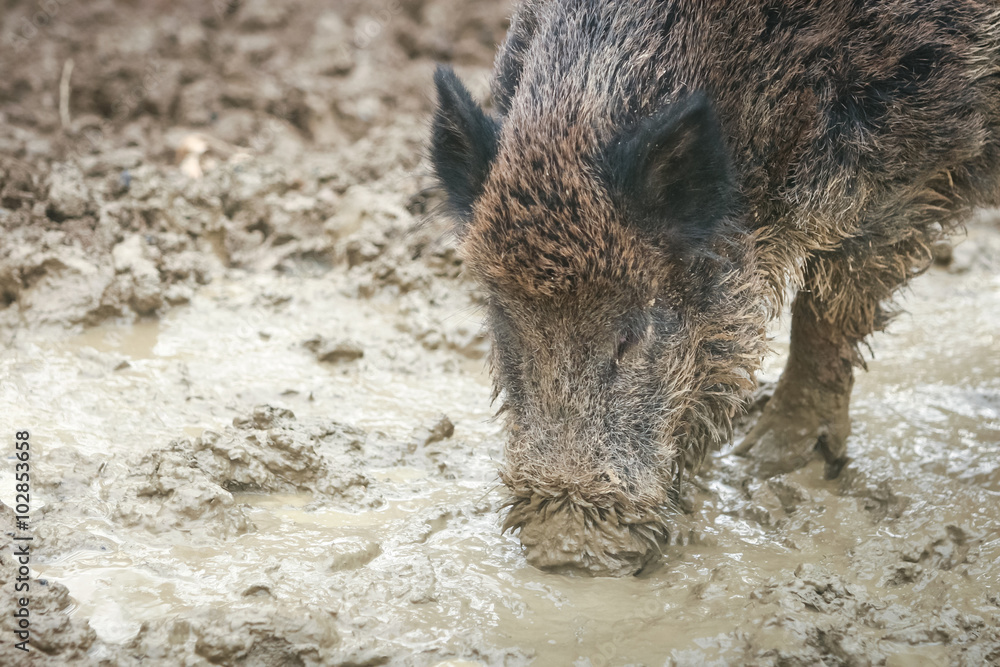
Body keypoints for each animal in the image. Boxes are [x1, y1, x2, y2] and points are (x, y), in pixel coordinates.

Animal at [429, 0, 1000, 576]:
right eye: (503, 323)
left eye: (631, 336)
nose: (561, 547)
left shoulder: (913, 149)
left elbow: (830, 305)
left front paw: (768, 461)